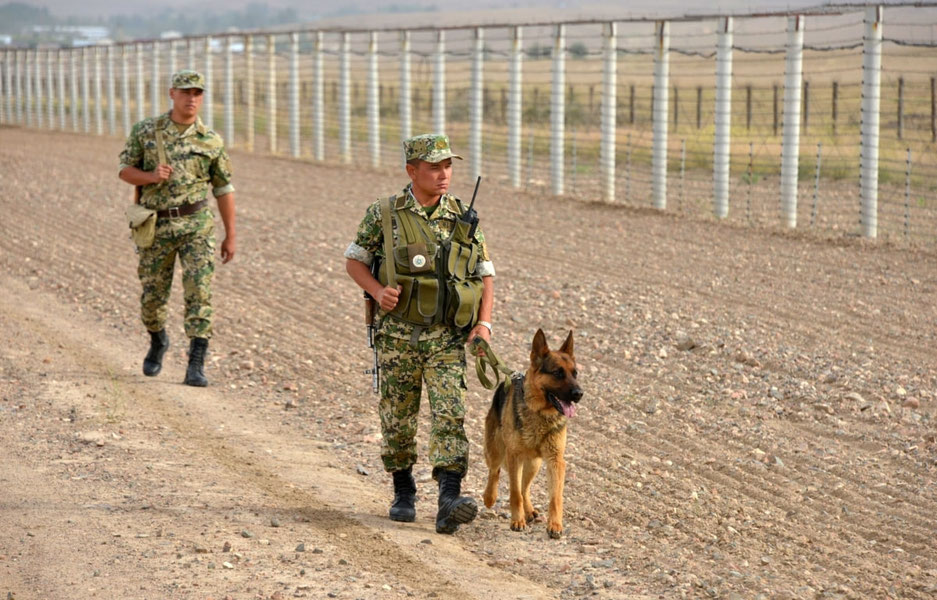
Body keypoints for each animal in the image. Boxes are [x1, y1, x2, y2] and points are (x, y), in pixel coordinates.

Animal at [486, 328, 580, 540]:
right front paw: (517, 521)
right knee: (495, 472)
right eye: (558, 373)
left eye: (575, 374)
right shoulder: (514, 456)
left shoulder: (555, 461)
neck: (540, 414)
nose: (579, 394)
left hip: (534, 464)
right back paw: (489, 497)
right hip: (497, 451)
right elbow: (513, 493)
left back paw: (529, 511)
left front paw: (555, 525)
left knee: (524, 487)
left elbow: (555, 497)